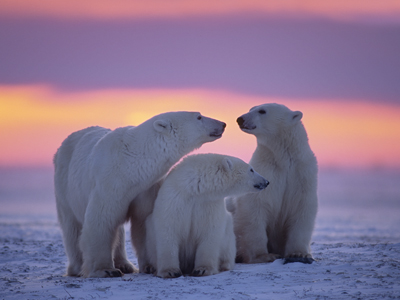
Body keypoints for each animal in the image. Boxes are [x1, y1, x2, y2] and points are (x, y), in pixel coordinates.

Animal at [54, 111, 225, 278]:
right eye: (199, 116)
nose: (223, 124)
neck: (131, 164)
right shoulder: (109, 183)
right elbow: (101, 220)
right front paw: (106, 270)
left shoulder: (146, 187)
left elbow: (143, 221)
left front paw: (150, 266)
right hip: (64, 185)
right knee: (72, 227)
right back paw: (77, 268)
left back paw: (125, 264)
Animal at [233, 103, 318, 264]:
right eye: (250, 108)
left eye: (262, 111)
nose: (240, 119)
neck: (283, 159)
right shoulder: (265, 171)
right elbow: (256, 207)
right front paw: (264, 255)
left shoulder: (302, 174)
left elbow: (302, 207)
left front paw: (299, 254)